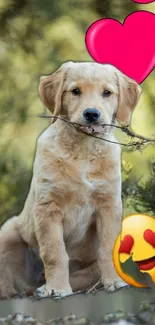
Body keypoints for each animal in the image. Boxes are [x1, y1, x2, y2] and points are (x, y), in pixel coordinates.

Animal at [0, 60, 142, 296]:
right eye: (75, 91)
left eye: (107, 92)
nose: (92, 114)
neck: (83, 150)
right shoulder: (48, 207)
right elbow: (54, 252)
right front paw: (57, 288)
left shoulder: (109, 205)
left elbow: (107, 247)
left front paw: (114, 281)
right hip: (8, 232)